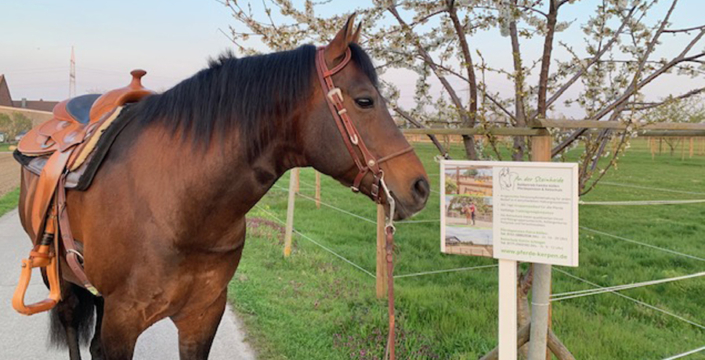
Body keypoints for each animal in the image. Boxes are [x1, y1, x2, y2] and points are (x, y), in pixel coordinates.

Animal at [17, 15, 428, 358]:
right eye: (365, 100)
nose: (420, 187)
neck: (180, 206)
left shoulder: (203, 316)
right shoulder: (123, 321)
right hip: (61, 281)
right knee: (72, 324)